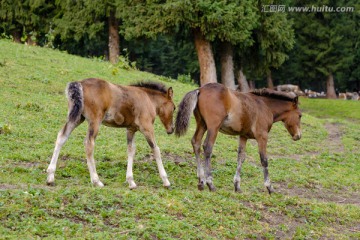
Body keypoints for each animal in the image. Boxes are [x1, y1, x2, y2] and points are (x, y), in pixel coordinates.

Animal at [45, 78, 175, 188]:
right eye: (174, 108)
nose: (171, 129)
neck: (148, 99)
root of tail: (80, 83)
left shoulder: (130, 129)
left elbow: (131, 150)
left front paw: (131, 181)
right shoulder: (147, 127)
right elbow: (156, 149)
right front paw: (166, 180)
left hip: (76, 118)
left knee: (61, 137)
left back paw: (50, 176)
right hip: (95, 121)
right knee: (89, 144)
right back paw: (96, 181)